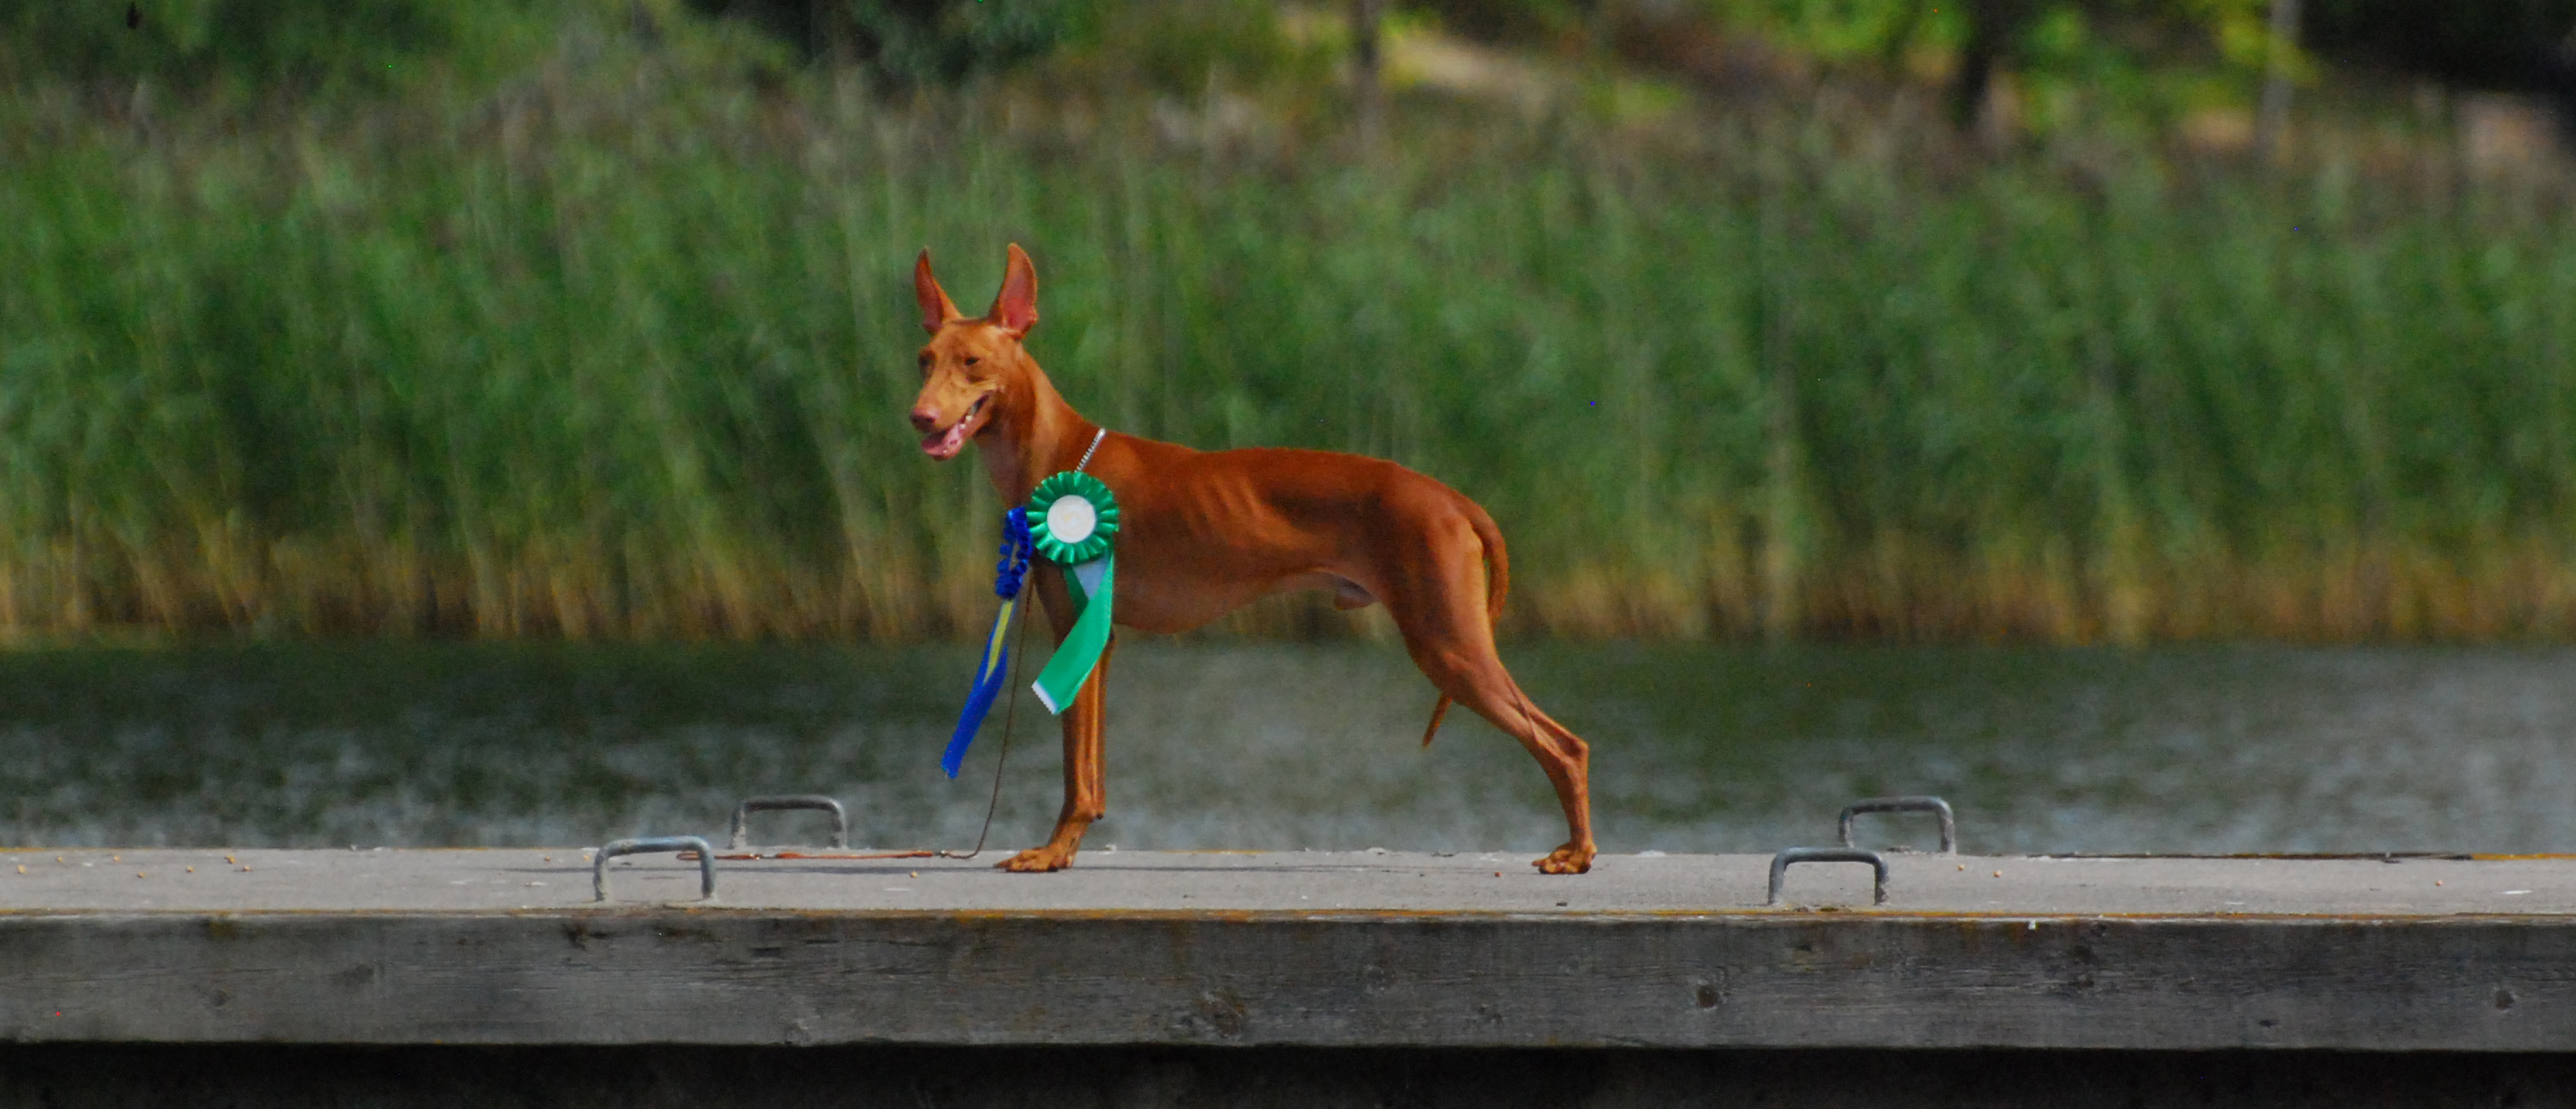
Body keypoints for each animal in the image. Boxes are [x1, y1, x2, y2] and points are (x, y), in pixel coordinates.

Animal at [906, 246, 1587, 875]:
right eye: (924, 359)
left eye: (972, 362)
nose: (920, 417)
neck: (1062, 452)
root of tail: (1451, 497)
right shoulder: (1098, 641)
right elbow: (1090, 766)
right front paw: (1067, 848)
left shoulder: (1079, 629)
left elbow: (1077, 768)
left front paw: (1052, 852)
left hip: (1449, 644)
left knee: (1565, 746)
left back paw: (1577, 852)